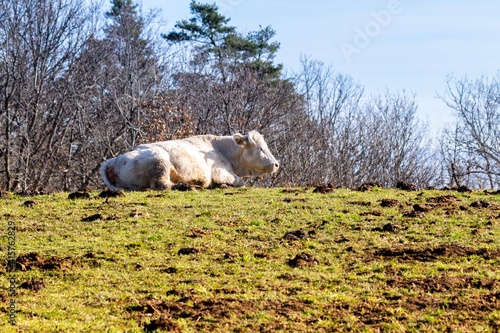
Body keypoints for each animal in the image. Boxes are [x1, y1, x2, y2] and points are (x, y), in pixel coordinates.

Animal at [97, 131, 278, 191]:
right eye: (259, 148)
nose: (276, 164)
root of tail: (114, 160)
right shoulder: (222, 173)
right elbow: (241, 182)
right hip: (160, 163)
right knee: (163, 185)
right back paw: (188, 186)